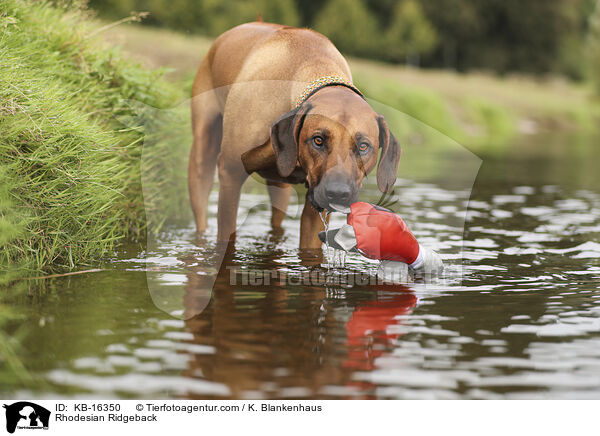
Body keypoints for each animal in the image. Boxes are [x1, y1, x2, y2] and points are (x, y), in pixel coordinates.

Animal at [190, 21, 400, 249]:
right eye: (318, 140)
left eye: (363, 146)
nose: (338, 193)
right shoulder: (231, 172)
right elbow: (226, 236)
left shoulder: (315, 201)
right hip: (202, 152)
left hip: (280, 187)